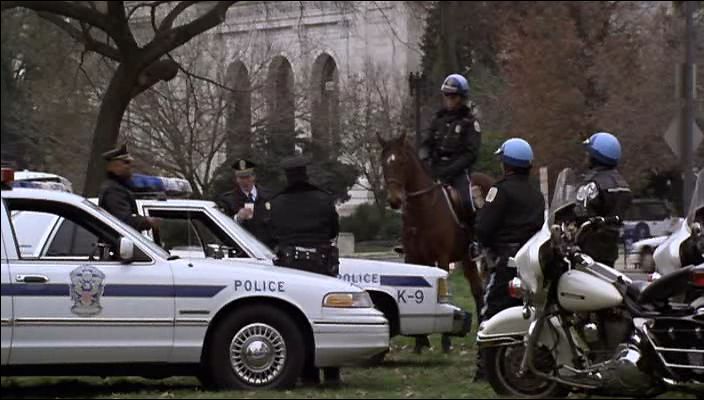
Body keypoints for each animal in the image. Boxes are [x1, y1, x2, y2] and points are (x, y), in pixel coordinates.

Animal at [376, 134, 492, 350]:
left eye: (402, 162)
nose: (395, 200)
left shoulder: (442, 258)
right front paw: (420, 341)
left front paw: (446, 341)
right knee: (477, 288)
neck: (422, 210)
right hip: (466, 257)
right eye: (384, 163)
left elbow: (444, 293)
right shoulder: (414, 258)